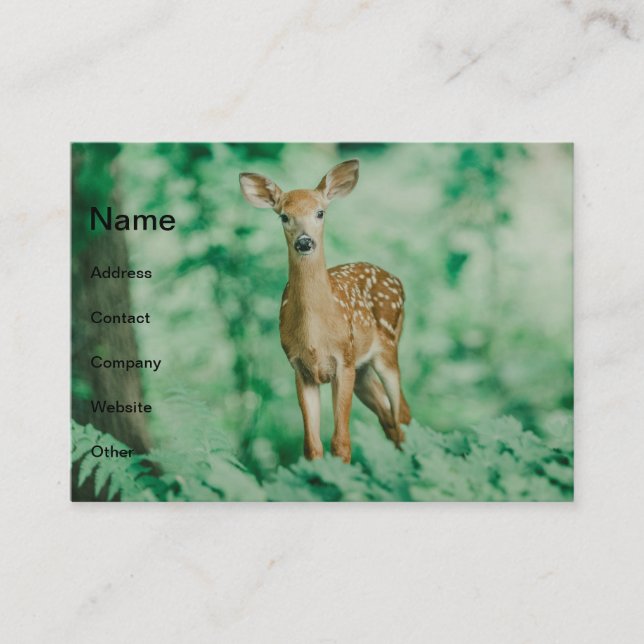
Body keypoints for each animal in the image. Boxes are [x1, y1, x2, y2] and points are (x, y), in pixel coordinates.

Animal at [239, 159, 411, 463]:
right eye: (284, 216)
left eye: (320, 212)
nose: (304, 242)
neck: (315, 337)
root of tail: (397, 279)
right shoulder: (300, 369)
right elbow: (312, 446)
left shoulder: (343, 361)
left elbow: (341, 443)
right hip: (363, 370)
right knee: (391, 418)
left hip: (387, 348)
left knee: (400, 412)